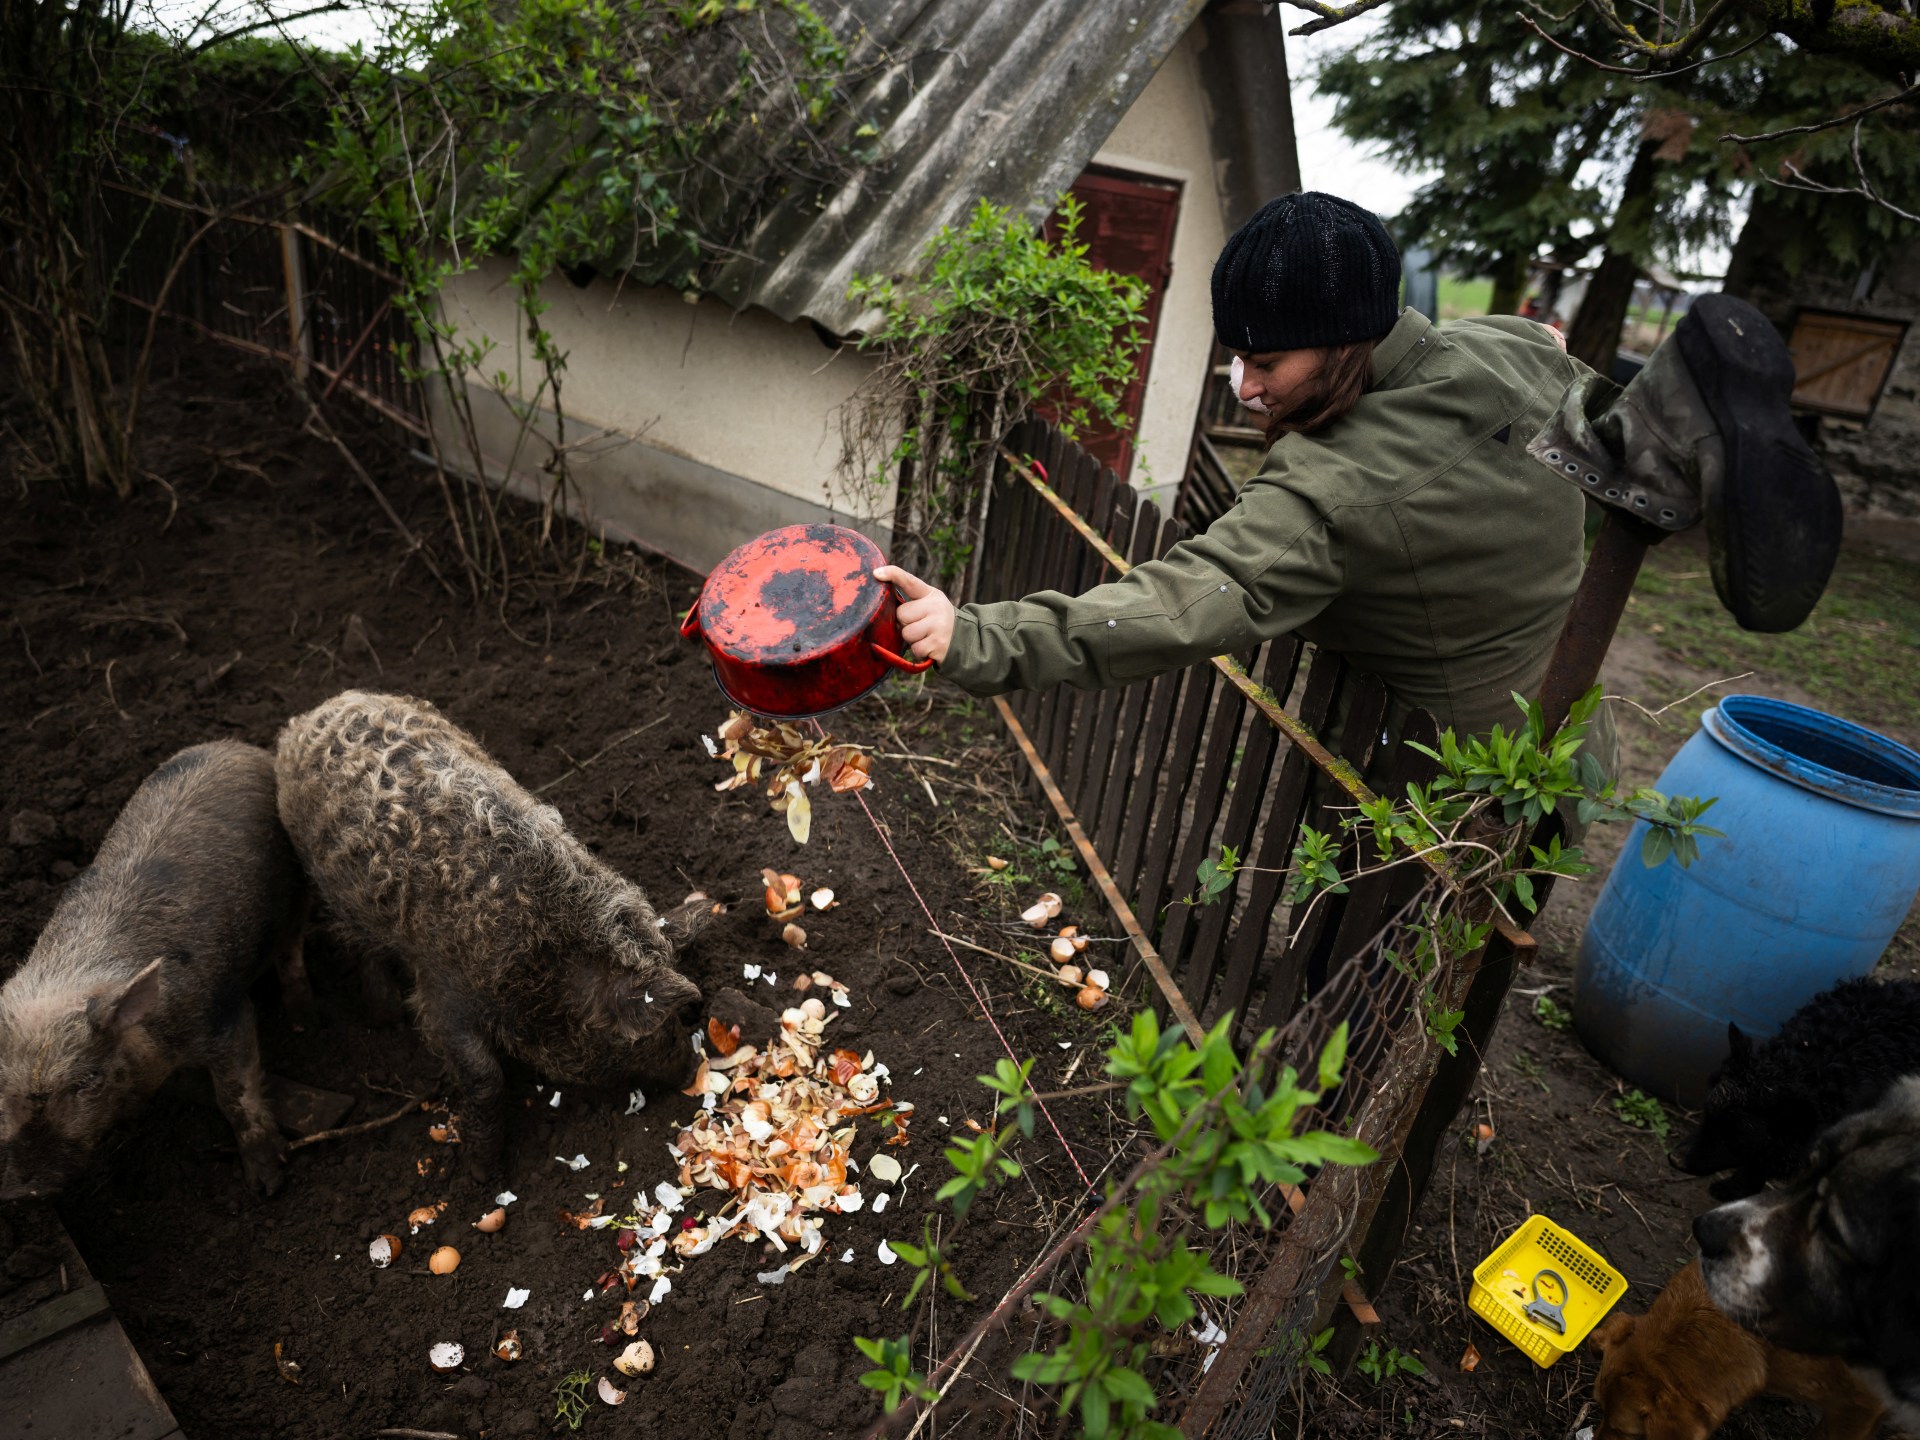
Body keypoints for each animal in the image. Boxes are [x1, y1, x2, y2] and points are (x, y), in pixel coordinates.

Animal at [0, 744, 307, 1205]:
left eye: (87, 1082)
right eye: (1, 1087)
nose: (25, 1191)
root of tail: (241, 748)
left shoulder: (222, 1015)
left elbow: (235, 1093)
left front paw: (266, 1186)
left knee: (292, 948)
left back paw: (303, 1018)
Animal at [274, 695, 710, 1175]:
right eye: (649, 1028)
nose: (691, 1069)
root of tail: (315, 713)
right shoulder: (443, 996)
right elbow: (483, 1076)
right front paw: (483, 1172)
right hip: (329, 884)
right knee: (359, 943)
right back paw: (385, 1015)